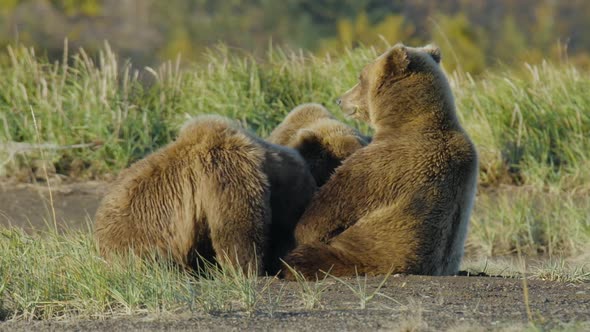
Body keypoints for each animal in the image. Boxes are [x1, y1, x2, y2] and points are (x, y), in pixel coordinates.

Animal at [96, 114, 320, 274]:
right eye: (307, 187)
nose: (313, 190)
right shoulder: (226, 169)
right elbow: (237, 227)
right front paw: (248, 267)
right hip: (140, 246)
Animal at [282, 42, 480, 278]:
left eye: (360, 77)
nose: (340, 100)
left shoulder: (380, 165)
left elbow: (323, 214)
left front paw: (301, 228)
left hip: (358, 255)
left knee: (308, 258)